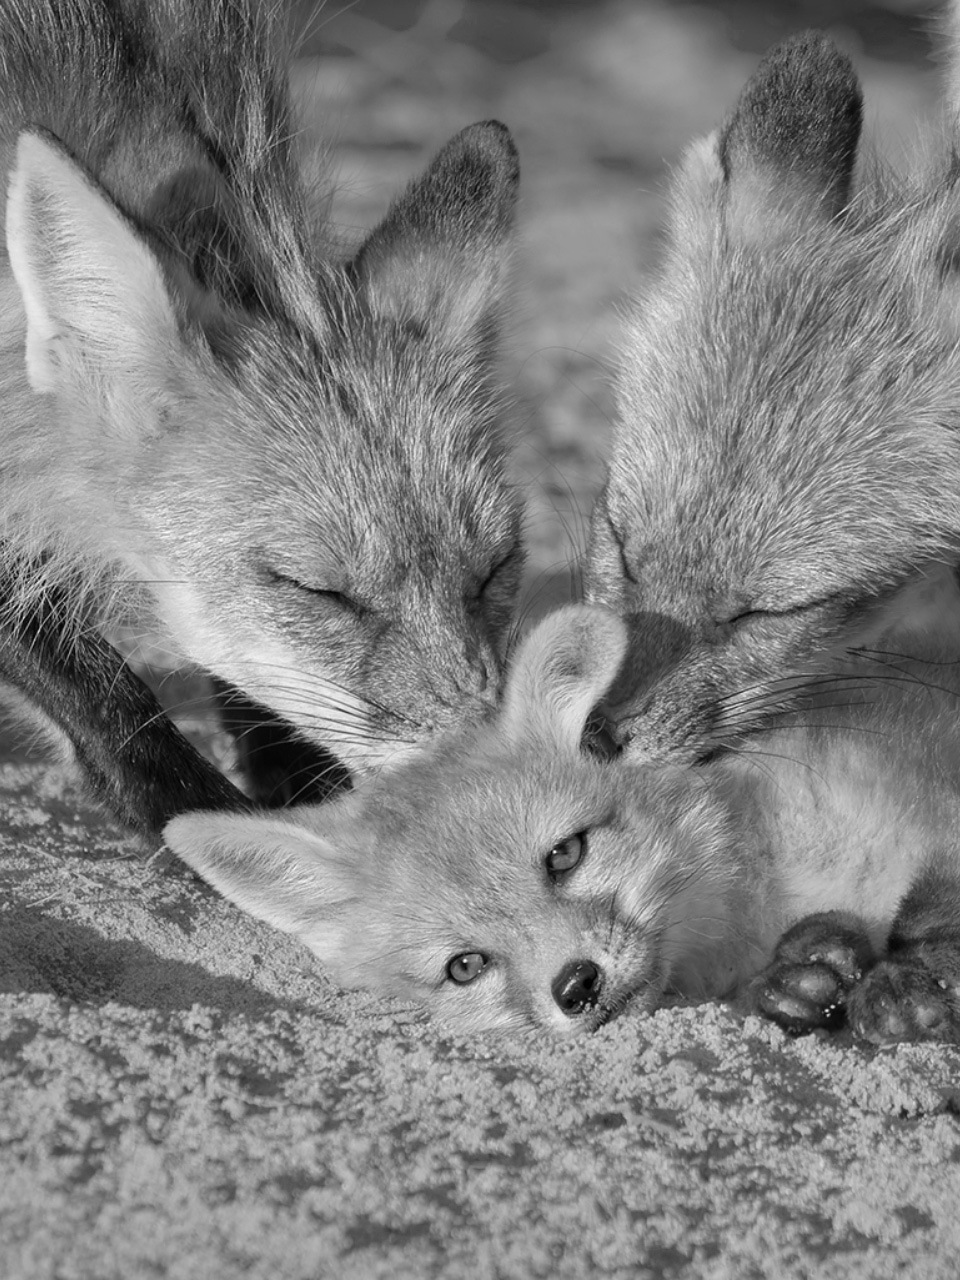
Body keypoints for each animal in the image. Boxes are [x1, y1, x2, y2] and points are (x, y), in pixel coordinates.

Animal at [0, 0, 524, 835]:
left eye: (496, 570)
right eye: (314, 590)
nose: (486, 771)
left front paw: (294, 779)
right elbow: (98, 690)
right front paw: (198, 815)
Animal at [165, 601, 960, 1045]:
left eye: (566, 854)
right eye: (465, 967)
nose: (577, 986)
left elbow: (930, 910)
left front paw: (909, 986)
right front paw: (811, 981)